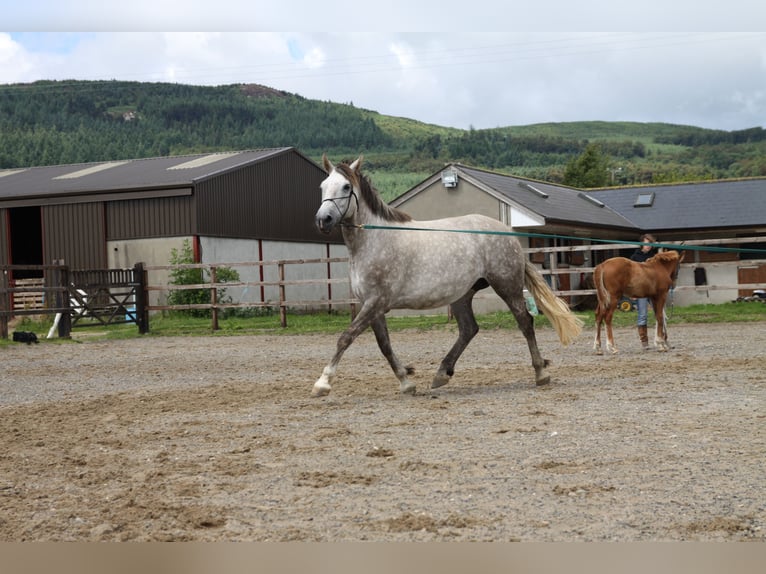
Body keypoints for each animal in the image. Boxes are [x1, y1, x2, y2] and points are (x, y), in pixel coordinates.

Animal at [311, 154, 583, 397]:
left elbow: (345, 338)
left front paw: (322, 383)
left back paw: (540, 373)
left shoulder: (376, 302)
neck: (373, 241)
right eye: (323, 186)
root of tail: (508, 233)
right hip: (463, 294)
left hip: (507, 285)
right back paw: (442, 373)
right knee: (469, 328)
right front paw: (406, 383)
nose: (323, 219)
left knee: (525, 322)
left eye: (346, 186)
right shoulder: (373, 306)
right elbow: (384, 345)